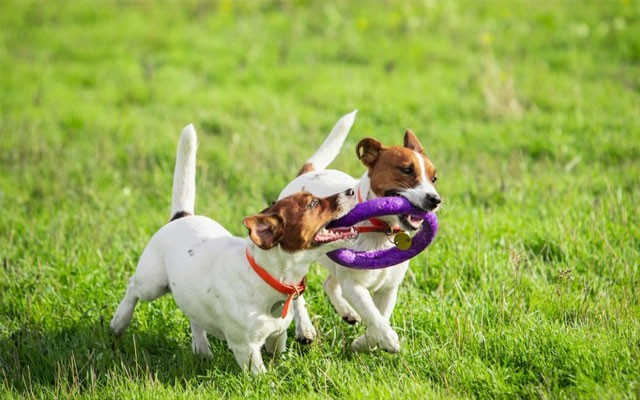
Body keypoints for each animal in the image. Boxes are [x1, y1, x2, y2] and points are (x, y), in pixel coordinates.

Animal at [111, 123, 360, 374]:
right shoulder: (246, 348)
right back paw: (119, 321)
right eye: (312, 204)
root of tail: (182, 216)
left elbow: (276, 353)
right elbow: (261, 374)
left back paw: (201, 348)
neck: (269, 276)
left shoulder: (276, 336)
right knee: (133, 287)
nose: (351, 191)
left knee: (194, 317)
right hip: (152, 283)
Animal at [280, 111, 440, 352]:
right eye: (406, 170)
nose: (435, 200)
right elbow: (373, 315)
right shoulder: (354, 286)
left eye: (434, 178)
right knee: (297, 294)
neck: (381, 230)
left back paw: (347, 313)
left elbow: (380, 315)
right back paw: (305, 329)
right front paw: (387, 338)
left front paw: (365, 342)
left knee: (329, 284)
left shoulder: (388, 289)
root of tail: (307, 174)